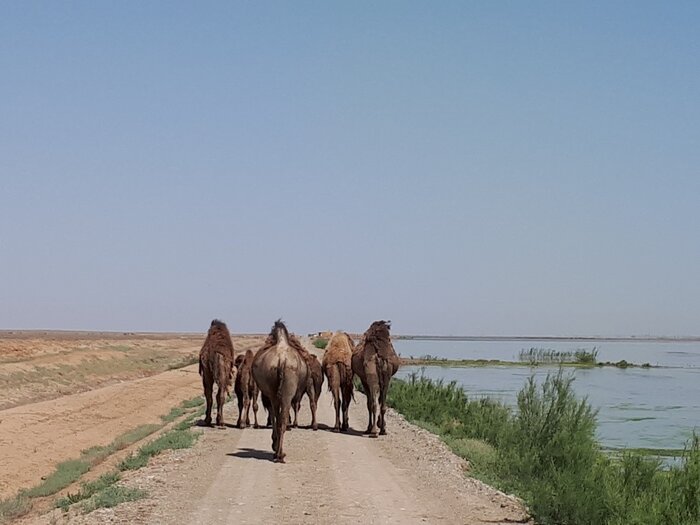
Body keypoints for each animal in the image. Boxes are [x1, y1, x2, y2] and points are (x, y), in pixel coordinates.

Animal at [250, 320, 308, 462]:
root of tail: (282, 360)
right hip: (286, 389)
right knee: (282, 417)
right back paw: (279, 453)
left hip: (274, 392)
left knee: (278, 415)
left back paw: (278, 452)